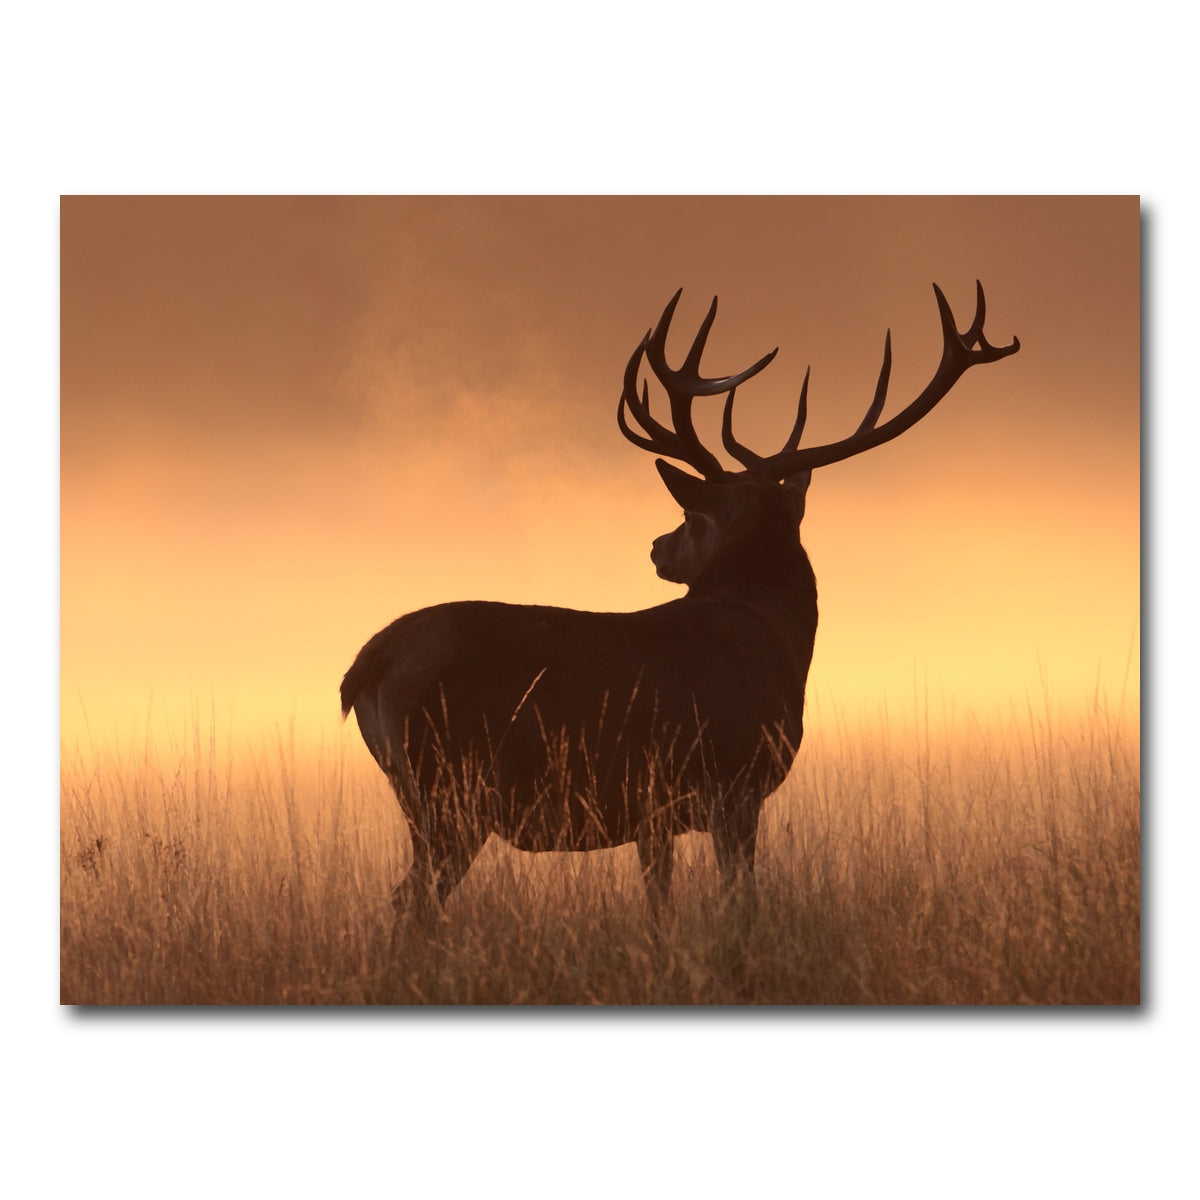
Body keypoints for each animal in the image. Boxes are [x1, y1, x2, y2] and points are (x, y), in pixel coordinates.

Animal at [341, 283, 1019, 921]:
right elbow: (740, 900)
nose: (656, 547)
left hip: (430, 796)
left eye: (690, 518)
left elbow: (659, 905)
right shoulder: (735, 783)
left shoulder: (654, 812)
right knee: (410, 901)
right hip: (451, 789)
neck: (776, 641)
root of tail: (366, 667)